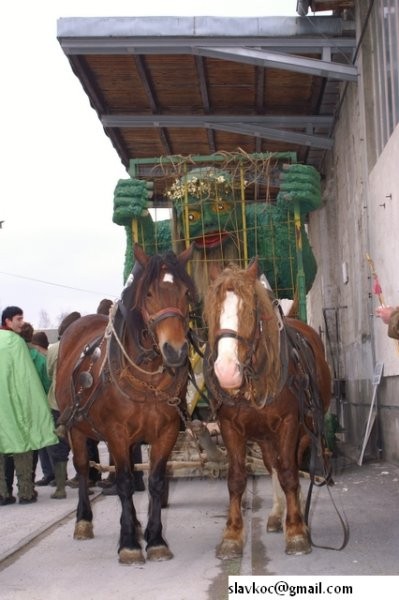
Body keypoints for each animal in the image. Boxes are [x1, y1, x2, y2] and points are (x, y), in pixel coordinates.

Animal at [55, 243, 198, 564]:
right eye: (149, 294)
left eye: (186, 292)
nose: (176, 351)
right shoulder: (116, 434)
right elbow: (121, 483)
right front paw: (129, 544)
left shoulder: (166, 432)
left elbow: (155, 482)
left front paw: (155, 539)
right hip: (77, 429)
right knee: (83, 468)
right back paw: (84, 520)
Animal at [203, 260, 332, 560]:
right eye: (212, 311)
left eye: (250, 311)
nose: (226, 372)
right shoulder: (231, 428)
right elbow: (237, 478)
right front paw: (232, 535)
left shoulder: (289, 423)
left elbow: (289, 473)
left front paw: (296, 530)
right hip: (264, 436)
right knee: (272, 464)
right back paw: (277, 513)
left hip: (306, 428)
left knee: (290, 464)